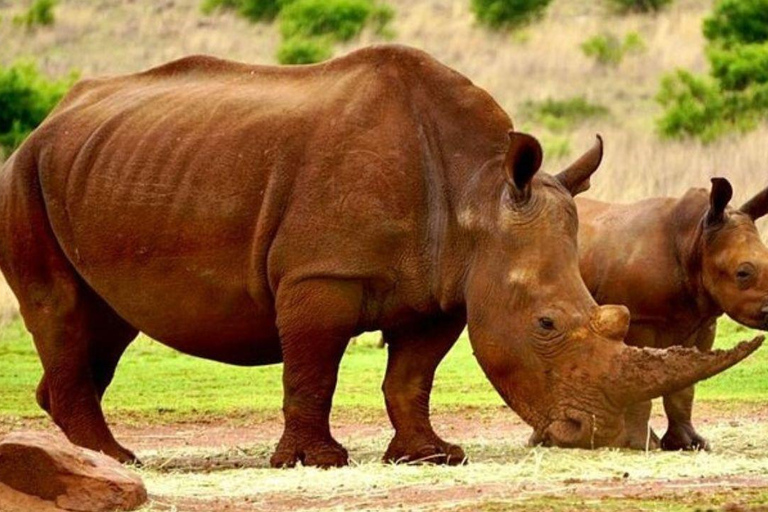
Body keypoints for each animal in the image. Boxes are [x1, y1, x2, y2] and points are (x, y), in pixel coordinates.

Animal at [578, 178, 768, 451]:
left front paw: (690, 444)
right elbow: (640, 377)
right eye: (743, 273)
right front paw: (641, 444)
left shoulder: (701, 320)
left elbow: (685, 385)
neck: (695, 238)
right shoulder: (640, 319)